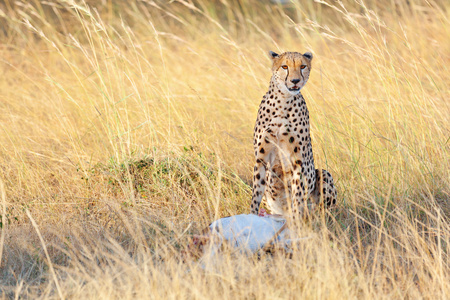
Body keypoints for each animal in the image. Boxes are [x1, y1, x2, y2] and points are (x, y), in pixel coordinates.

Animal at [251, 50, 336, 219]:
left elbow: (297, 193)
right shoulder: (261, 158)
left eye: (302, 66)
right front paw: (250, 215)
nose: (295, 80)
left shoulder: (298, 160)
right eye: (285, 66)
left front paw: (297, 220)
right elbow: (256, 193)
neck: (283, 101)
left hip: (323, 174)